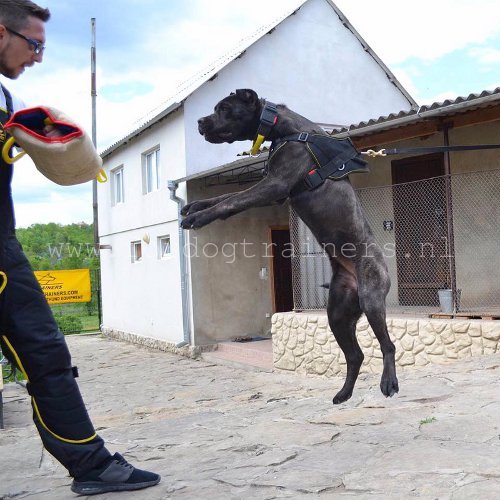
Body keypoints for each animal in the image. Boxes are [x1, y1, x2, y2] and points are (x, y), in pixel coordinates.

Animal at [181, 89, 398, 402]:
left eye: (223, 108)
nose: (200, 121)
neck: (284, 130)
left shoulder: (275, 185)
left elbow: (231, 200)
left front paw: (198, 217)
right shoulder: (271, 190)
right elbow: (226, 196)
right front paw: (196, 205)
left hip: (371, 299)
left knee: (387, 345)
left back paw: (389, 382)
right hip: (337, 312)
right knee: (355, 355)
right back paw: (343, 393)